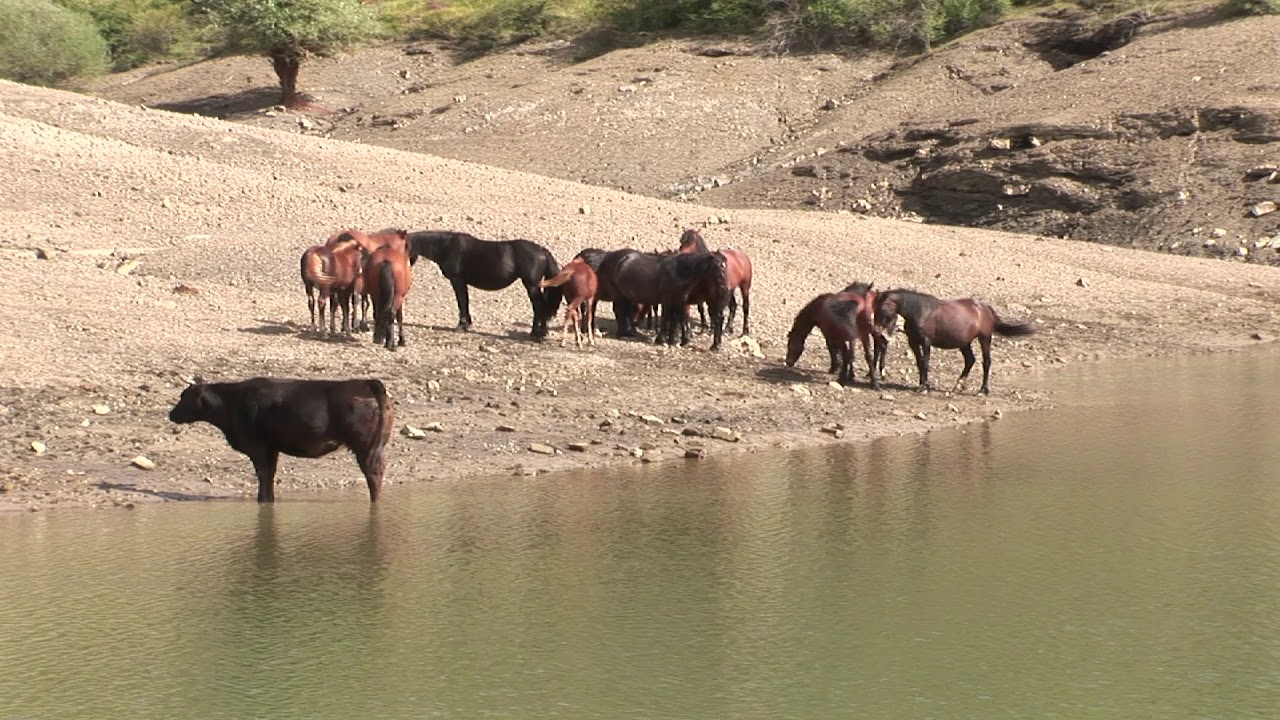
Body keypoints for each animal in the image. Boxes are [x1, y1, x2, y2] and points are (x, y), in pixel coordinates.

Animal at [407, 231, 562, 339]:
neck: (447, 246)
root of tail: (541, 250)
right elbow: (465, 301)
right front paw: (467, 325)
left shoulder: (457, 280)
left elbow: (462, 302)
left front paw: (461, 326)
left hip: (531, 285)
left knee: (539, 306)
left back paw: (538, 333)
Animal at [871, 289, 1036, 394]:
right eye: (874, 307)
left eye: (883, 307)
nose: (876, 330)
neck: (919, 312)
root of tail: (985, 308)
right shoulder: (913, 342)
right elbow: (920, 363)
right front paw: (921, 384)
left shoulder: (926, 342)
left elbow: (925, 363)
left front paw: (924, 387)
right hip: (965, 343)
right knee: (970, 360)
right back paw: (958, 385)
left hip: (984, 338)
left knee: (986, 362)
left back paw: (983, 390)